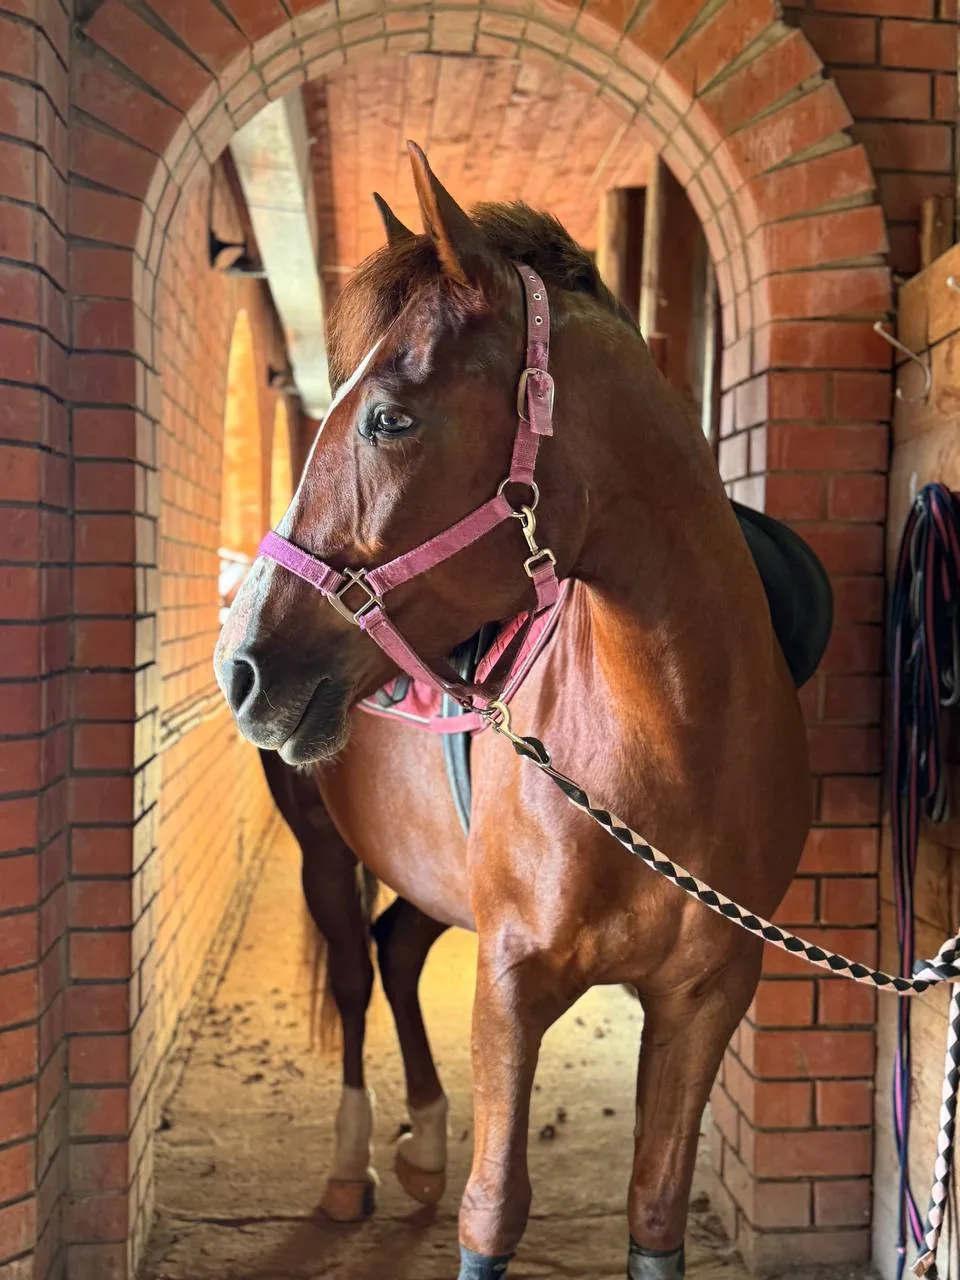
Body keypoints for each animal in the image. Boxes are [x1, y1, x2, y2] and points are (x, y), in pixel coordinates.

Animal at [215, 141, 822, 1280]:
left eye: (390, 417)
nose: (243, 665)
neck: (670, 743)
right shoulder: (509, 983)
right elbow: (493, 1210)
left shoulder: (706, 997)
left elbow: (655, 1211)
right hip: (323, 847)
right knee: (356, 970)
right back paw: (354, 1165)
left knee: (399, 948)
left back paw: (422, 1141)